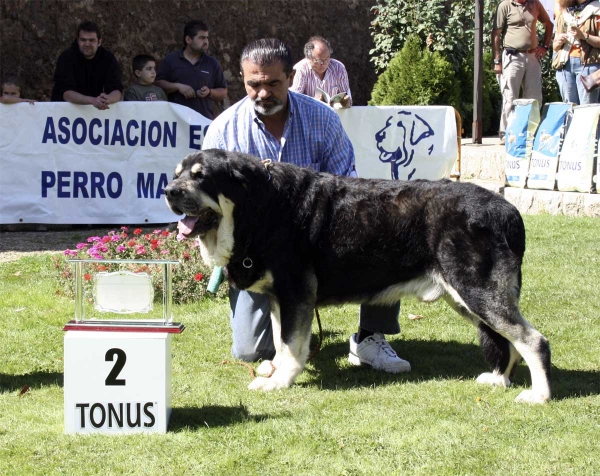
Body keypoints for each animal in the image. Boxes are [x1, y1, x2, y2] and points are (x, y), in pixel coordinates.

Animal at [166, 149, 552, 402]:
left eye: (200, 176)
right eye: (176, 174)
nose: (169, 191)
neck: (261, 208)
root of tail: (508, 209)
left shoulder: (295, 293)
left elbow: (290, 345)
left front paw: (280, 381)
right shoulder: (280, 298)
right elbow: (279, 341)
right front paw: (276, 370)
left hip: (477, 290)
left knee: (532, 340)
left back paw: (539, 395)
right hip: (466, 297)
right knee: (507, 341)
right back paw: (500, 379)